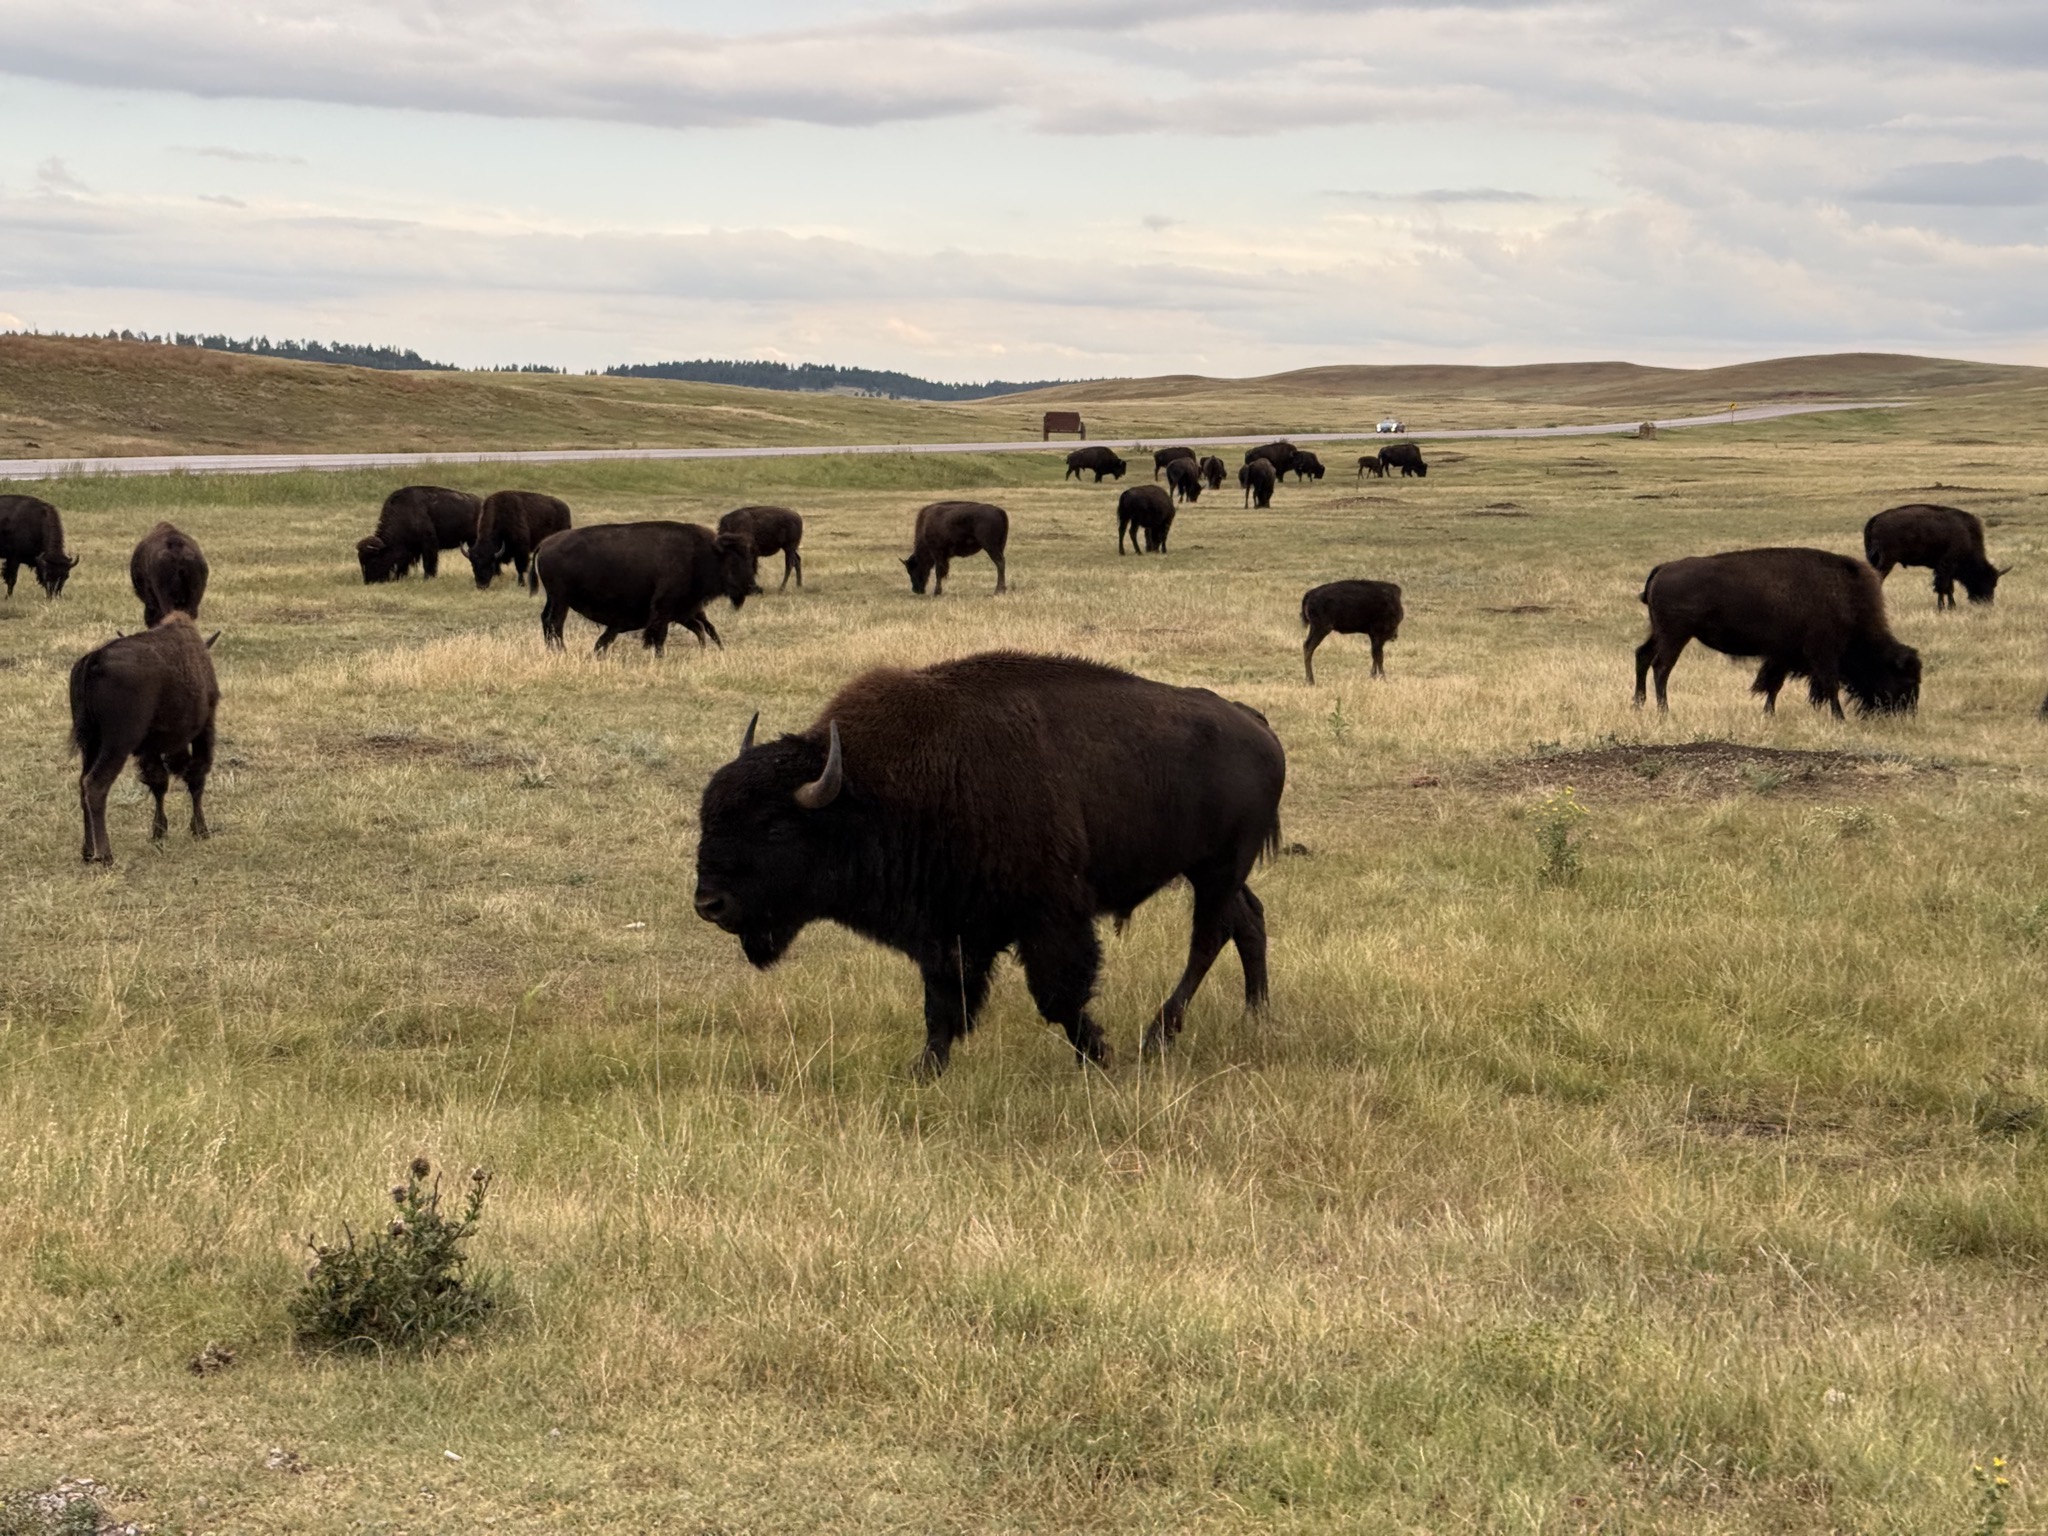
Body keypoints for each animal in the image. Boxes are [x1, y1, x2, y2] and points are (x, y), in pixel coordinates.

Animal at [70, 613, 219, 864]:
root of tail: (94, 659)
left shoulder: (150, 749)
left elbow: (159, 783)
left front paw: (159, 832)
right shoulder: (204, 729)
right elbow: (196, 779)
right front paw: (200, 830)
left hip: (90, 744)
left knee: (82, 784)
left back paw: (88, 852)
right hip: (117, 745)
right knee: (96, 784)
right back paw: (106, 856)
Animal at [536, 522, 757, 654]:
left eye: (750, 559)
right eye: (733, 560)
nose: (751, 586)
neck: (704, 553)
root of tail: (545, 544)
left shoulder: (682, 610)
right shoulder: (664, 608)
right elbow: (659, 634)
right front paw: (659, 656)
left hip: (552, 598)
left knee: (546, 620)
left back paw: (552, 650)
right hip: (561, 600)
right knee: (556, 623)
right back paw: (562, 651)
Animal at [691, 652, 1285, 1072]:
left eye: (774, 826)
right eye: (709, 818)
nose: (708, 903)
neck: (872, 792)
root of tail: (1254, 723)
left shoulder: (1051, 919)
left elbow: (1058, 996)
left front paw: (1098, 1056)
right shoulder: (946, 931)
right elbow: (943, 1003)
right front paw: (924, 1071)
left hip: (1218, 868)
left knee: (1209, 937)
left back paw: (1158, 1035)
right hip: (1214, 872)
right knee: (1248, 921)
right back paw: (1254, 1017)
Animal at [1635, 547, 1920, 717]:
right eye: (1905, 680)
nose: (1906, 713)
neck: (1847, 600)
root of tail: (1663, 568)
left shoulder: (1783, 654)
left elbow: (1774, 685)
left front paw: (1768, 713)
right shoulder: (1823, 653)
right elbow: (1829, 684)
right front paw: (1838, 717)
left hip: (1660, 633)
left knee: (1643, 656)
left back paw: (1638, 704)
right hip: (1675, 636)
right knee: (1661, 667)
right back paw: (1664, 711)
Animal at [1864, 503, 2005, 608]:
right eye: (1986, 580)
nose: (1987, 603)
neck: (1968, 536)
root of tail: (1876, 518)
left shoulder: (1945, 568)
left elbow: (1948, 587)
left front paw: (1951, 607)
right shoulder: (1946, 566)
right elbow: (1943, 587)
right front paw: (1943, 607)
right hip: (1887, 561)